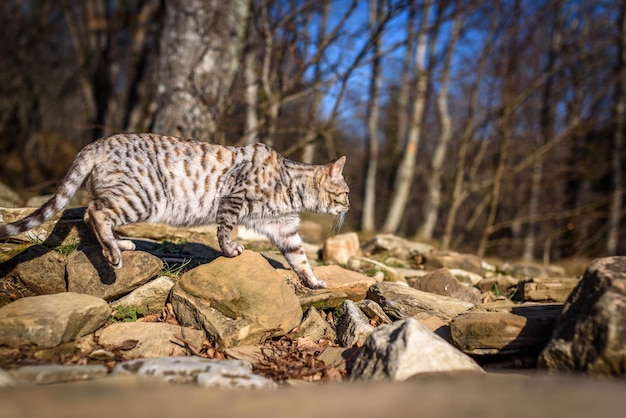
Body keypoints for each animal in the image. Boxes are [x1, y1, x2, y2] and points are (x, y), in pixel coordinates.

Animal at [0, 133, 348, 288]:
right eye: (345, 192)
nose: (348, 205)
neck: (291, 186)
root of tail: (96, 142)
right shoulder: (233, 198)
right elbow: (225, 229)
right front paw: (231, 249)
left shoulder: (283, 227)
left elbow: (300, 257)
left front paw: (314, 282)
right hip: (142, 197)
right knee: (93, 213)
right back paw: (114, 256)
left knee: (93, 215)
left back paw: (120, 245)